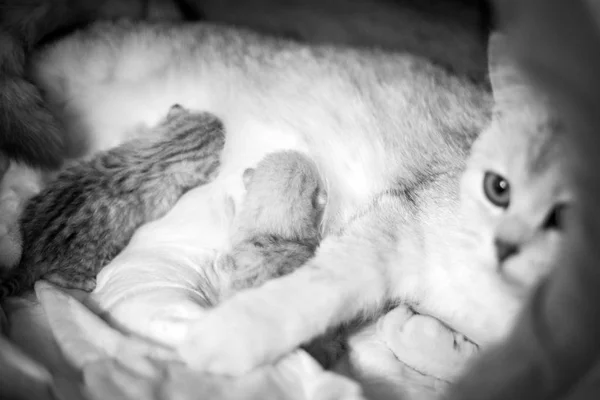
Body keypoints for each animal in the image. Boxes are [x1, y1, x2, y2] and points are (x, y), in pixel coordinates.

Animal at [0, 104, 225, 298]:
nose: (222, 122)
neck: (166, 147)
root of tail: (29, 255)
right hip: (96, 255)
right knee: (48, 277)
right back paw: (84, 282)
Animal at [24, 21, 552, 378]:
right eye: (499, 188)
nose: (506, 247)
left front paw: (422, 336)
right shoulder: (402, 217)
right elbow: (316, 291)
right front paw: (228, 337)